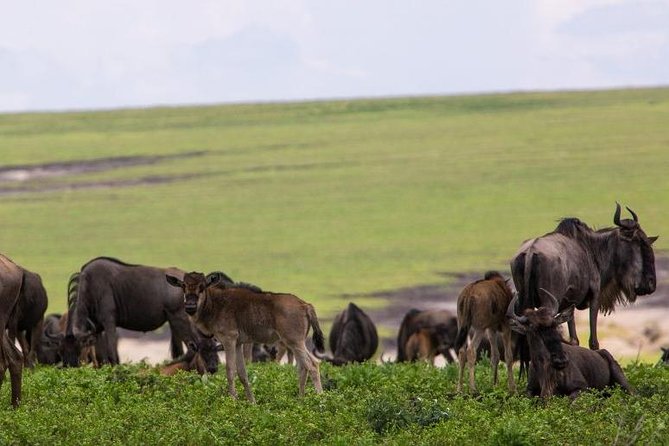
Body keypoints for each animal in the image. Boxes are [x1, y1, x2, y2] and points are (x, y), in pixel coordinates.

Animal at [166, 270, 324, 402]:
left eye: (202, 286)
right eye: (183, 286)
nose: (190, 306)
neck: (215, 305)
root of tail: (305, 305)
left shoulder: (228, 340)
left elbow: (230, 370)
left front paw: (233, 400)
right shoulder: (238, 344)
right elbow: (243, 373)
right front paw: (251, 402)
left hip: (294, 342)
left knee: (312, 365)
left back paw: (321, 399)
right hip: (296, 343)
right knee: (303, 366)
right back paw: (300, 400)